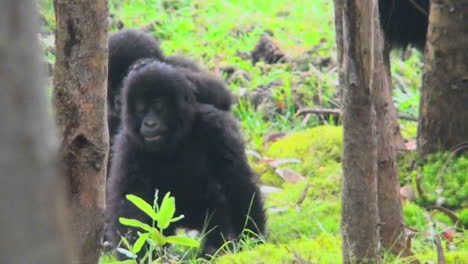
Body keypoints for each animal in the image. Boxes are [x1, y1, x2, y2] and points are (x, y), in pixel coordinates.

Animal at [106, 60, 266, 256]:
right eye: (141, 107)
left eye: (159, 106)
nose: (150, 123)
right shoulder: (128, 145)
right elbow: (130, 201)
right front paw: (139, 254)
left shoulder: (216, 126)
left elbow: (237, 183)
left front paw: (252, 238)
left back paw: (214, 248)